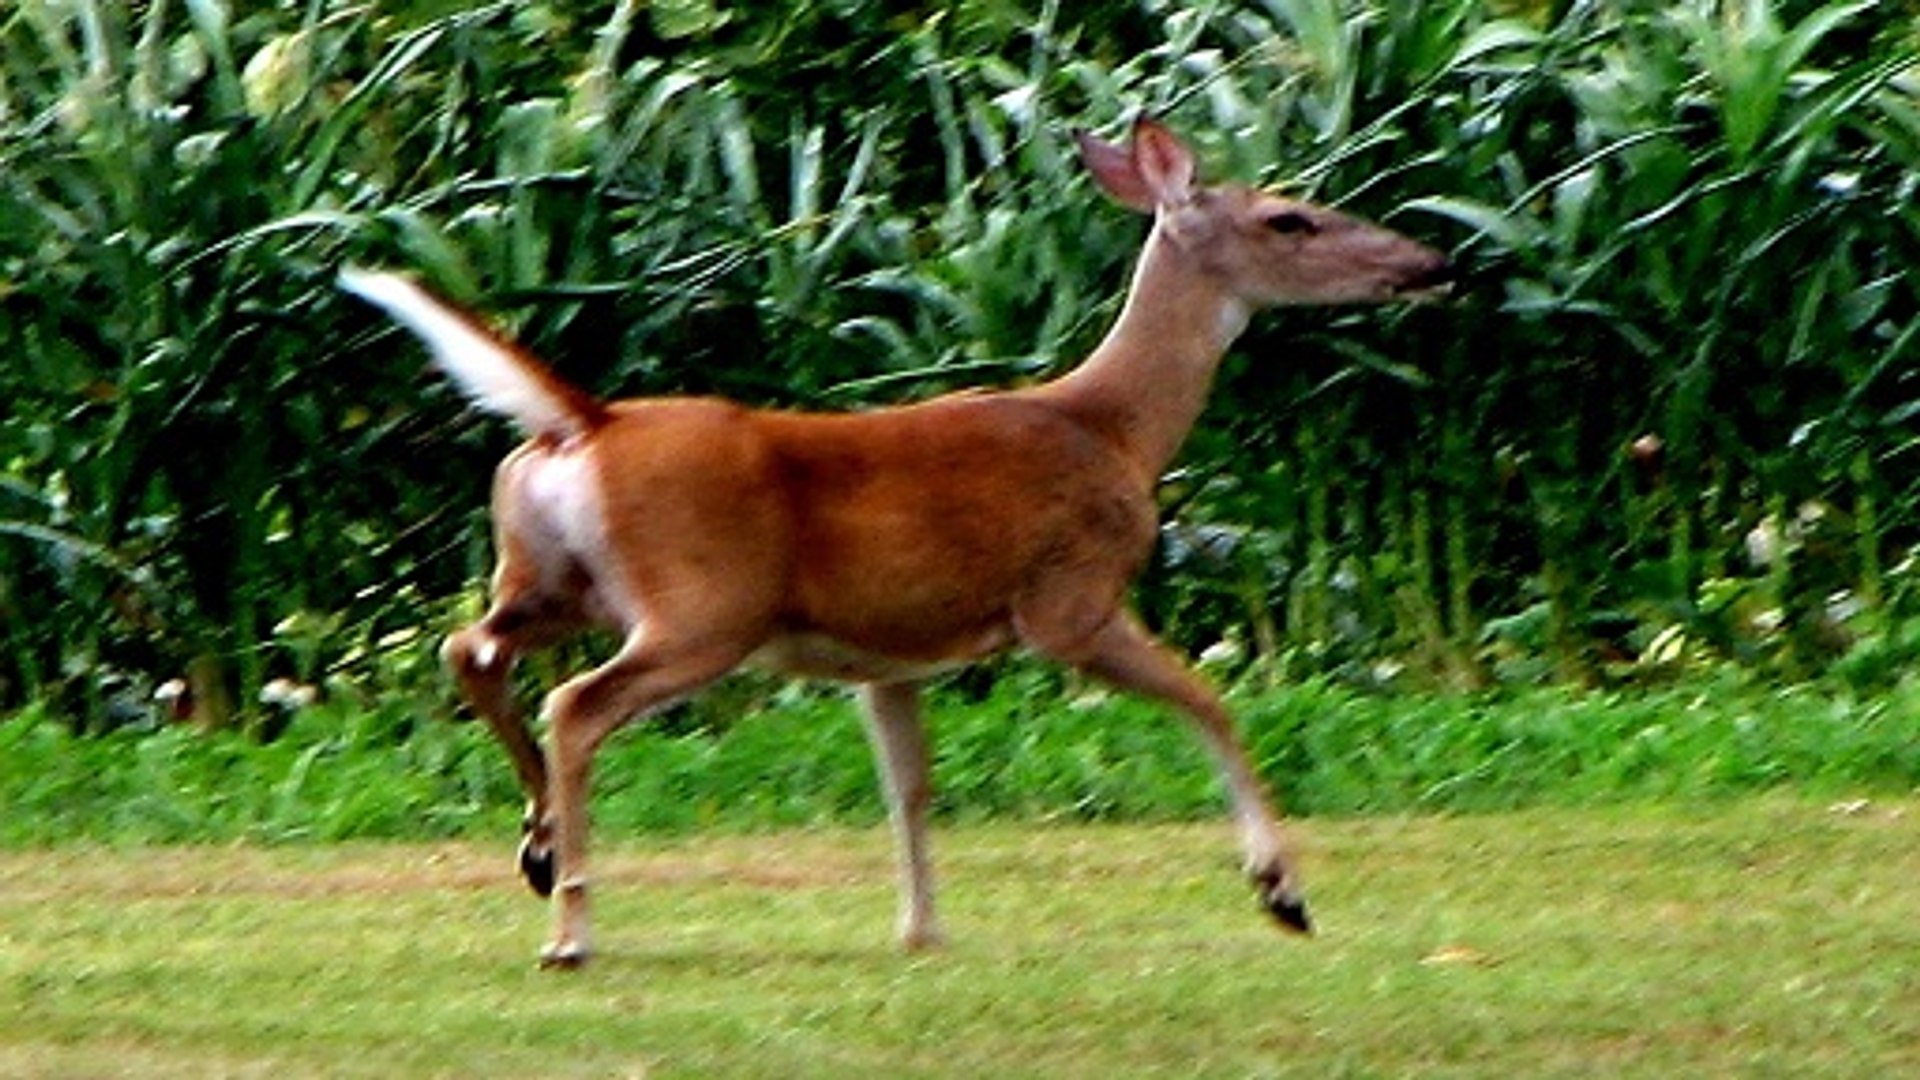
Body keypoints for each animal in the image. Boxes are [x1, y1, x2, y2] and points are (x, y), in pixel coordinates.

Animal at [339, 118, 1451, 969]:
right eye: (1289, 218)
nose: (1431, 264)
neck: (1113, 431)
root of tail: (587, 421)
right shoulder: (1068, 598)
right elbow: (1208, 700)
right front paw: (1282, 890)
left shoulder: (885, 657)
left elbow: (910, 787)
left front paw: (921, 930)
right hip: (705, 606)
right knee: (574, 703)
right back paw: (570, 929)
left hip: (548, 576)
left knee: (470, 647)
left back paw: (537, 850)